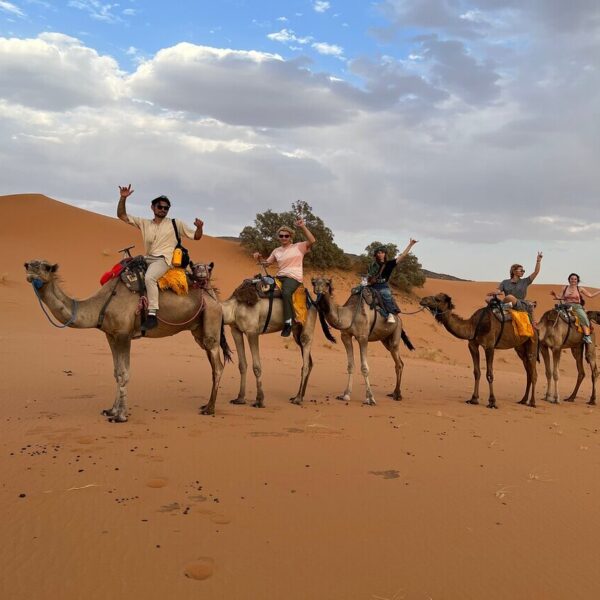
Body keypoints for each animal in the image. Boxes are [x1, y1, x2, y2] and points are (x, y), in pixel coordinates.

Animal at [24, 260, 230, 424]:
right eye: (32, 263)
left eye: (44, 266)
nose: (26, 265)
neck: (100, 304)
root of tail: (213, 295)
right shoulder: (111, 335)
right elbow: (116, 373)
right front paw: (111, 410)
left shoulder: (124, 334)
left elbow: (124, 374)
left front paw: (120, 416)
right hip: (199, 330)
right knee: (213, 364)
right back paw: (206, 404)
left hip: (211, 321)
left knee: (218, 366)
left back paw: (209, 409)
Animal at [310, 278, 412, 406]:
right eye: (314, 282)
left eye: (326, 283)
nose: (318, 289)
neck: (349, 314)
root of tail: (398, 318)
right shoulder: (345, 336)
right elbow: (350, 365)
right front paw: (346, 395)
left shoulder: (363, 337)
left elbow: (364, 368)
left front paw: (370, 398)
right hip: (385, 340)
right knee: (400, 362)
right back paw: (395, 393)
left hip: (396, 333)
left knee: (398, 362)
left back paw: (397, 395)